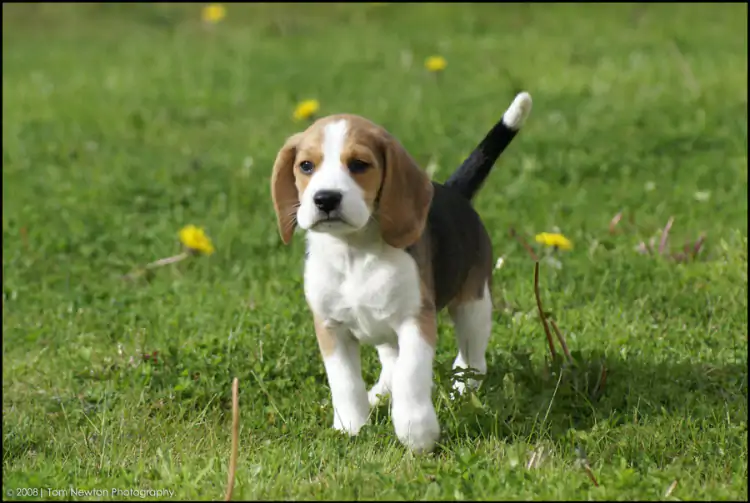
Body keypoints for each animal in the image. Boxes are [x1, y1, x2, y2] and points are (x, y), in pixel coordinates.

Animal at [274, 91, 532, 452]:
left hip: (474, 306)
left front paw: (416, 431)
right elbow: (345, 381)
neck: (354, 251)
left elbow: (411, 374)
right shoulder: (330, 327)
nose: (326, 199)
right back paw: (381, 394)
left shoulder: (415, 320)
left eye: (359, 165)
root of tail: (454, 191)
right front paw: (352, 426)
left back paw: (459, 391)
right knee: (390, 361)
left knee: (471, 362)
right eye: (306, 166)